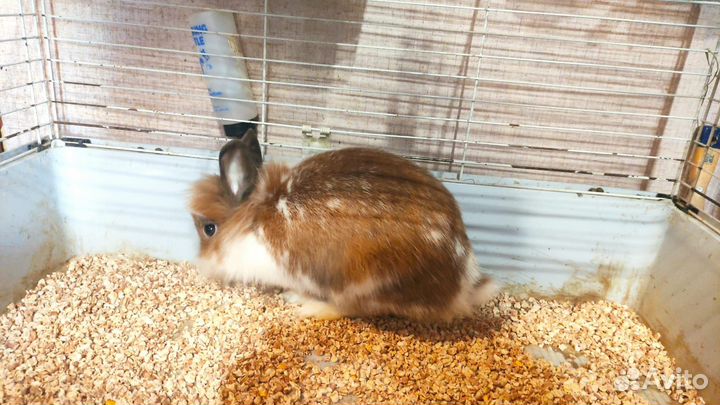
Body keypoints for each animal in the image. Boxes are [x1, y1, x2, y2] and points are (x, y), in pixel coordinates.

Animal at [189, 129, 496, 321]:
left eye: (209, 229)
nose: (202, 264)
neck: (254, 219)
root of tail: (462, 281)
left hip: (362, 284)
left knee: (350, 309)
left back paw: (306, 305)